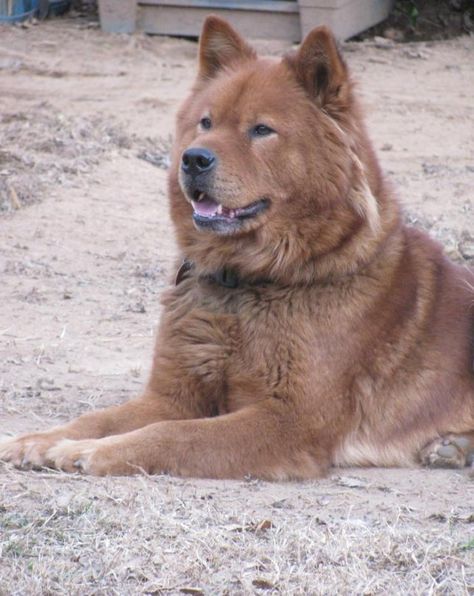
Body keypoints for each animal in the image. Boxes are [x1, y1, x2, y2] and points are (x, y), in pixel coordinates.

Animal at [0, 16, 474, 478]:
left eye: (262, 130)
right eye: (206, 123)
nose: (193, 158)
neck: (248, 281)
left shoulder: (288, 421)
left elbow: (173, 435)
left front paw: (87, 452)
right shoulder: (174, 394)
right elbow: (100, 418)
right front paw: (41, 440)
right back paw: (452, 447)